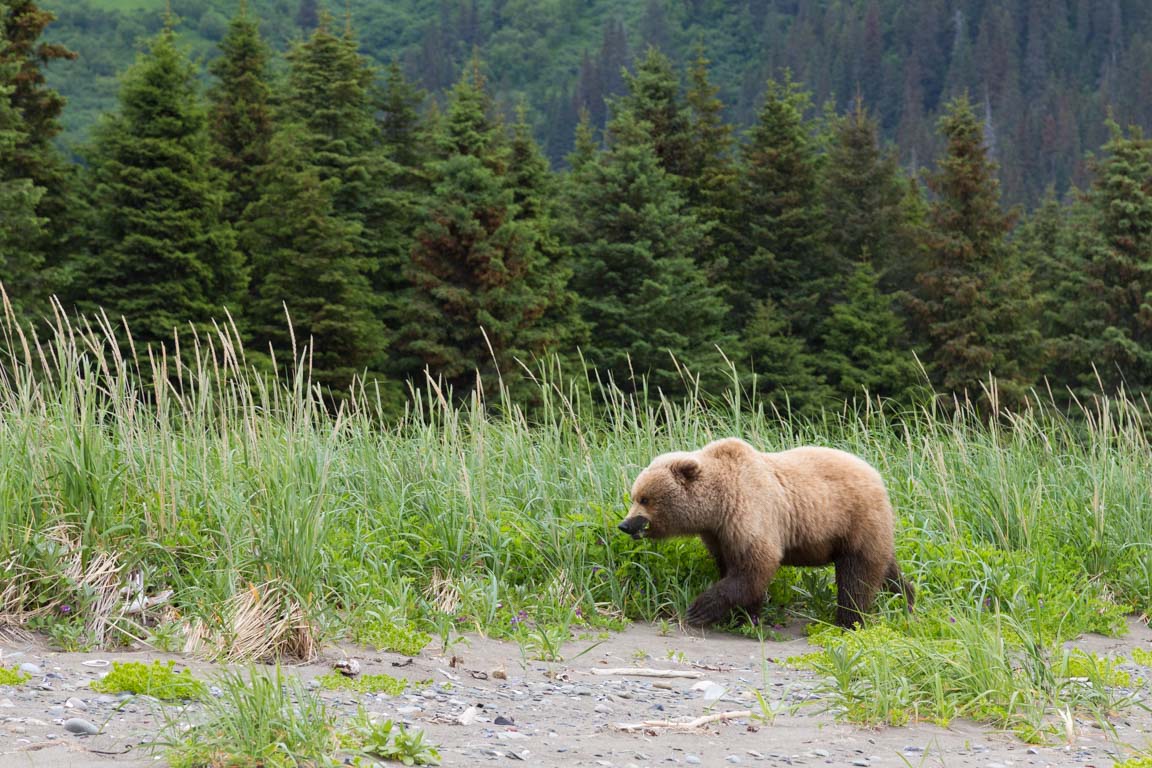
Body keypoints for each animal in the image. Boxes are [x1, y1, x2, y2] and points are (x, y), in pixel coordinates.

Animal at [617, 437, 912, 630]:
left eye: (644, 499)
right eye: (635, 496)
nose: (625, 524)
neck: (717, 504)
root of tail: (877, 475)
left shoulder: (750, 512)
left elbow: (755, 565)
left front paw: (700, 609)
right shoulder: (719, 533)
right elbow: (733, 567)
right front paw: (746, 616)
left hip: (855, 520)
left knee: (856, 576)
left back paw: (848, 621)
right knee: (885, 568)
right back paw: (906, 599)